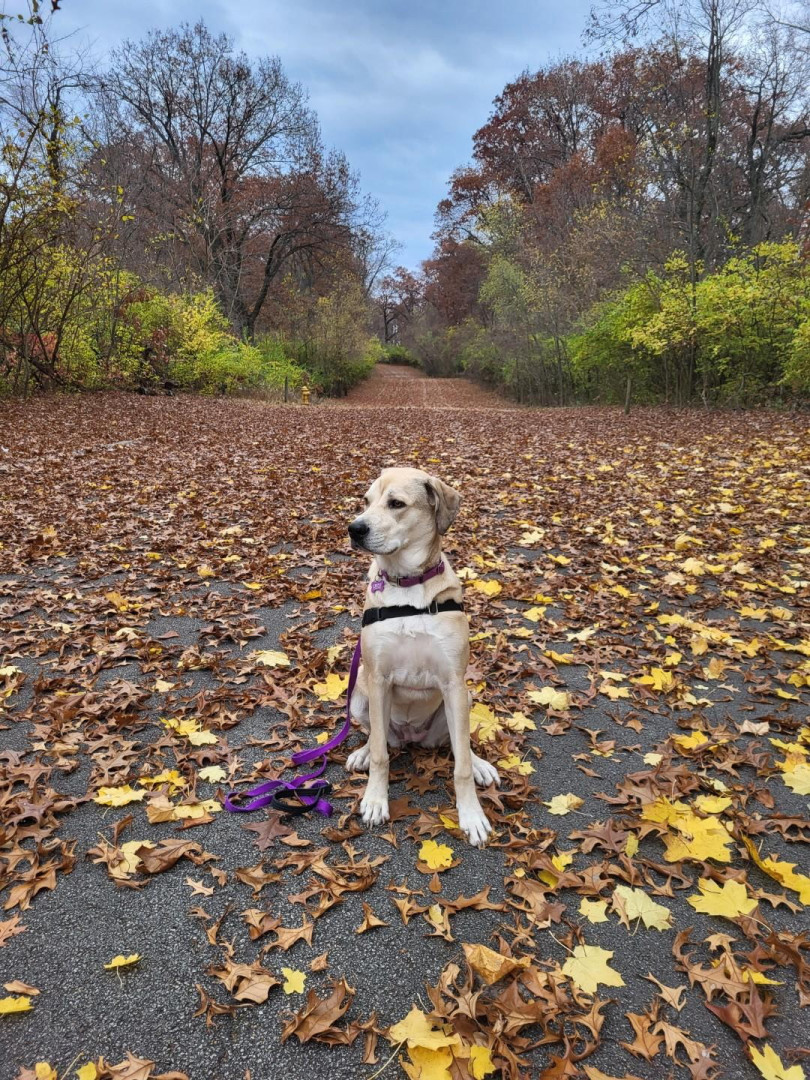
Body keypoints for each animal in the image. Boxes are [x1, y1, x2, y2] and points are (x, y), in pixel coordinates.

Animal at [345, 467, 499, 846]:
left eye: (396, 504)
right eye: (366, 501)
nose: (354, 529)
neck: (408, 587)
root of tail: (412, 736)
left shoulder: (453, 683)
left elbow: (460, 766)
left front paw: (471, 815)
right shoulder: (377, 678)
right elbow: (381, 754)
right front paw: (375, 800)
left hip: (461, 701)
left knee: (461, 746)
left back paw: (480, 764)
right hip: (360, 696)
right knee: (377, 737)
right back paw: (361, 753)